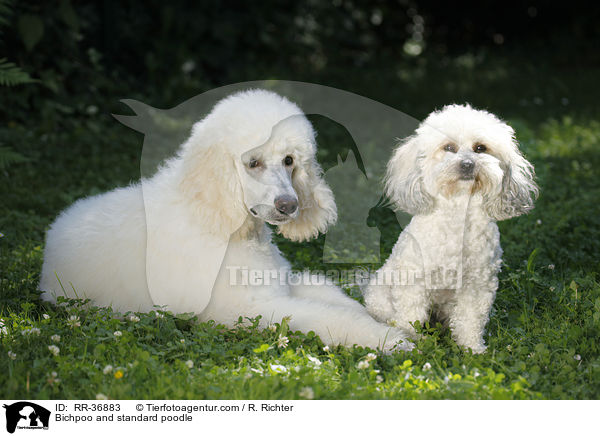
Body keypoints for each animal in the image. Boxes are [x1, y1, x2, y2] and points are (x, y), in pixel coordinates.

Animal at [39, 88, 410, 350]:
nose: (289, 205)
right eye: (253, 163)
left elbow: (341, 302)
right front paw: (390, 341)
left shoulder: (283, 284)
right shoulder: (249, 309)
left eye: (289, 160)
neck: (223, 221)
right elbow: (331, 319)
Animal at [364, 104, 536, 352]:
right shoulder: (413, 281)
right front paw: (414, 342)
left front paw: (473, 349)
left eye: (480, 148)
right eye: (449, 148)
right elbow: (410, 317)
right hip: (382, 295)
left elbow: (470, 321)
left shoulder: (477, 285)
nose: (467, 164)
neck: (459, 210)